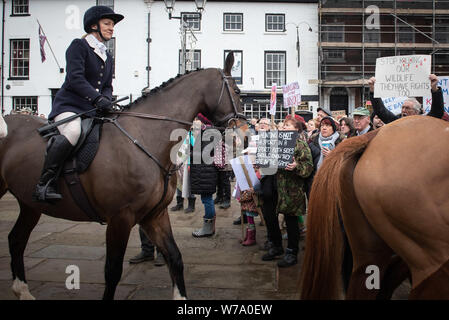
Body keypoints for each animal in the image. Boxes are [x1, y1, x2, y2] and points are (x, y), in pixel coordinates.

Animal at [0, 52, 247, 300]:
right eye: (237, 91)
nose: (242, 135)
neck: (143, 137)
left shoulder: (154, 214)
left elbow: (174, 257)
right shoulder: (121, 217)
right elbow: (113, 270)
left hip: (30, 204)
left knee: (16, 239)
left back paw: (23, 291)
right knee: (16, 239)